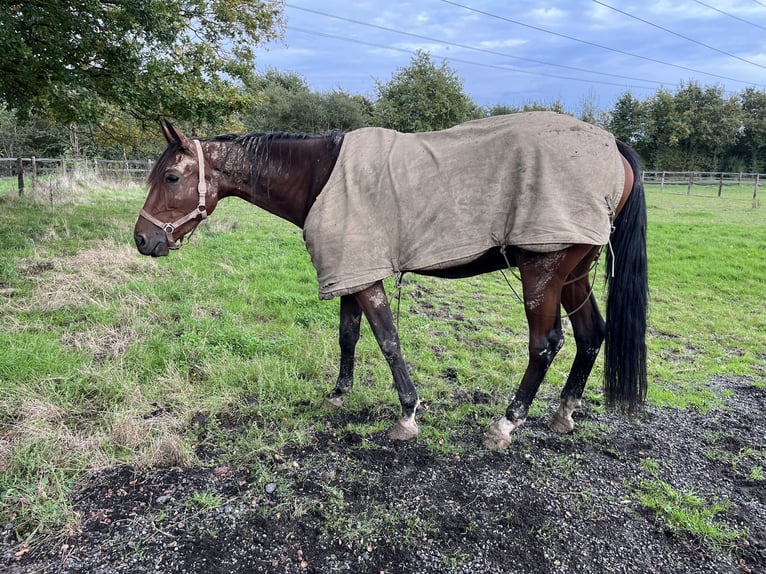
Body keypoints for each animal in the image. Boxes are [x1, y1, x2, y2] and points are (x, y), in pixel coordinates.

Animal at [135, 113, 652, 454]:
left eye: (172, 176)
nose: (142, 239)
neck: (321, 177)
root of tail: (613, 147)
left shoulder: (366, 279)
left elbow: (387, 339)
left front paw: (407, 414)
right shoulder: (350, 270)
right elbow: (349, 336)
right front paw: (338, 394)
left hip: (543, 272)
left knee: (545, 345)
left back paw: (506, 424)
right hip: (576, 273)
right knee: (591, 334)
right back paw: (563, 413)